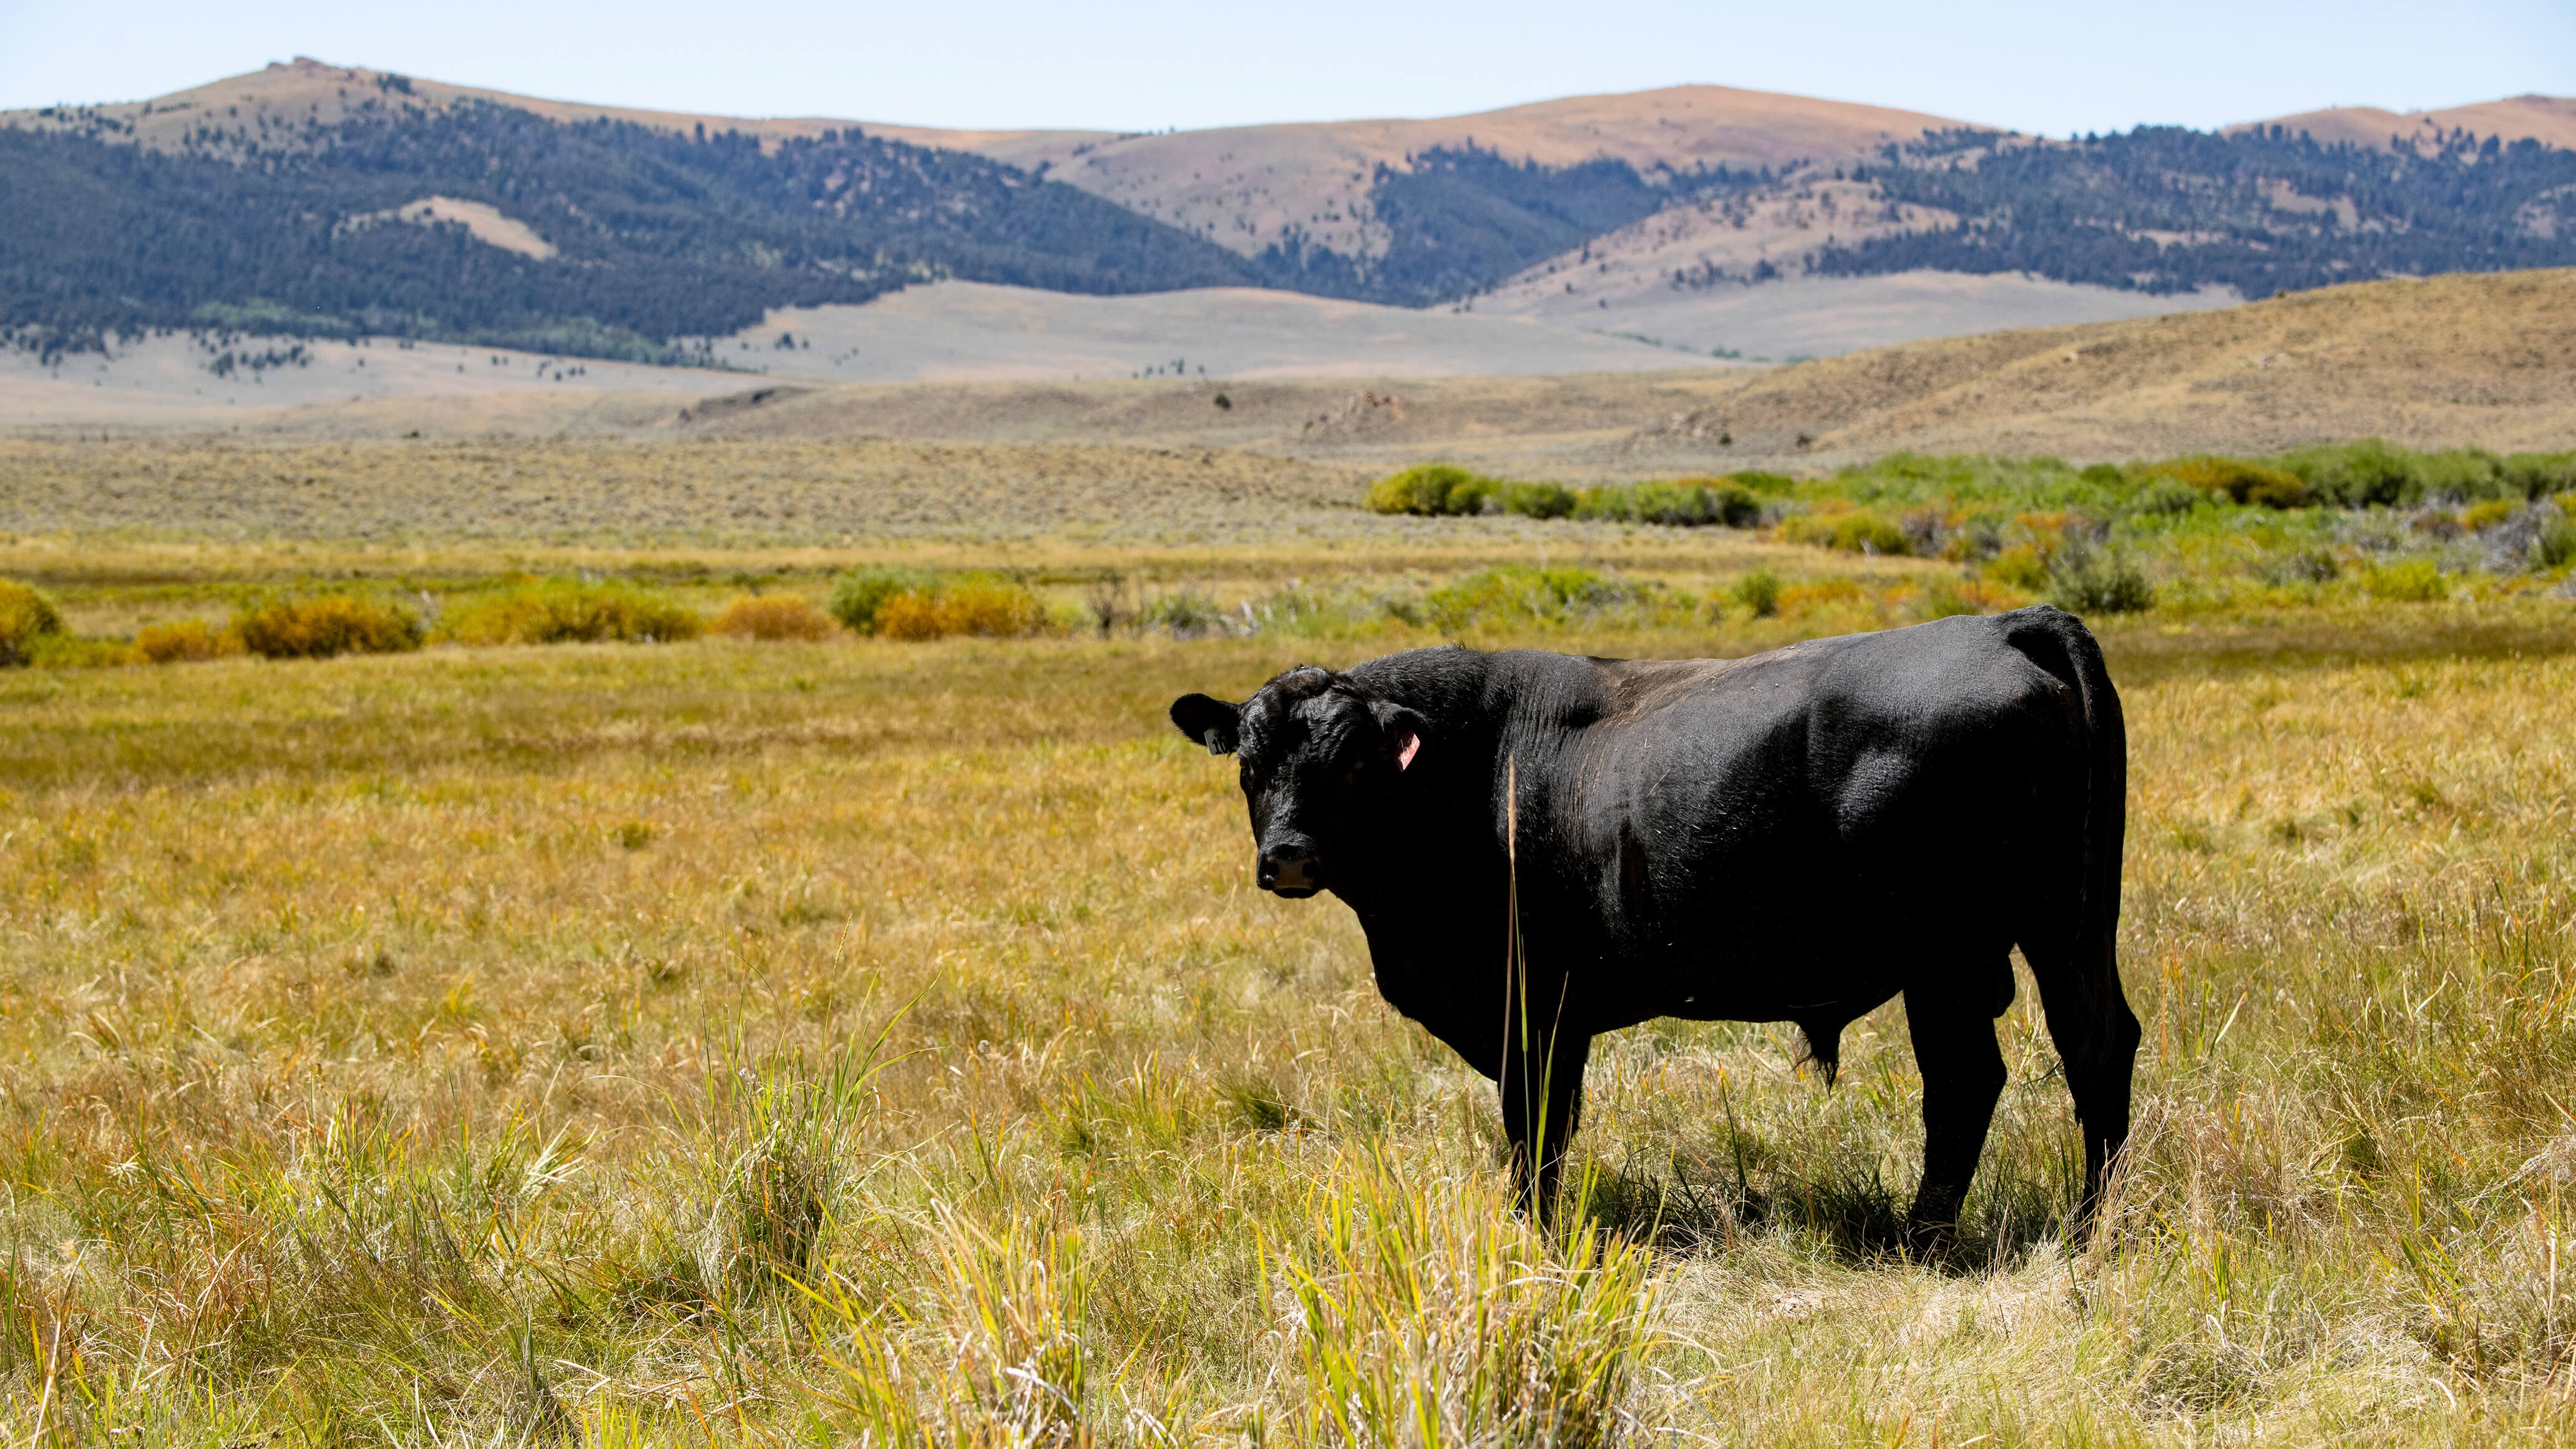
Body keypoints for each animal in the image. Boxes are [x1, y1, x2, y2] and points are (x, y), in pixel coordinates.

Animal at [1179, 603, 2143, 1237]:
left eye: (1351, 762)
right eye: (1251, 763)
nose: (1289, 855)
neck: (1470, 772)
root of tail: (2002, 625)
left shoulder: (1536, 1012)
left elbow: (1535, 1131)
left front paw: (1530, 1234)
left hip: (1945, 958)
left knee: (1967, 1082)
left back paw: (1925, 1237)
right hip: (2066, 927)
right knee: (2096, 1045)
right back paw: (2090, 1226)